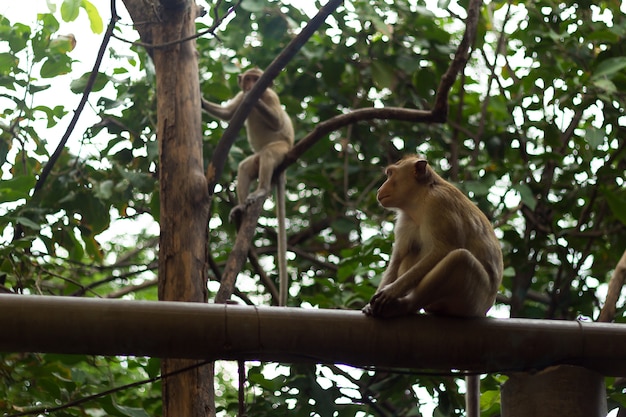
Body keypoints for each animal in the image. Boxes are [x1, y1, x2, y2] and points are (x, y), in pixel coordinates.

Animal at [202, 68, 294, 306]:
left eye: (256, 78)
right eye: (248, 78)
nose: (251, 84)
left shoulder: (271, 96)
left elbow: (277, 121)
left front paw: (256, 97)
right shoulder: (239, 97)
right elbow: (228, 113)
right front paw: (200, 98)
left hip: (281, 149)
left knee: (269, 154)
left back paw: (262, 190)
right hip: (256, 160)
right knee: (244, 167)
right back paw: (241, 207)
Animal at [360, 155, 502, 416]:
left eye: (390, 174)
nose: (380, 189)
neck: (419, 201)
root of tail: (484, 311)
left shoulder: (439, 205)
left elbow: (444, 250)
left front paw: (389, 294)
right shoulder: (405, 220)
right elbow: (398, 258)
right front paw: (372, 303)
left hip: (473, 300)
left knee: (460, 259)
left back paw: (403, 306)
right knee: (414, 253)